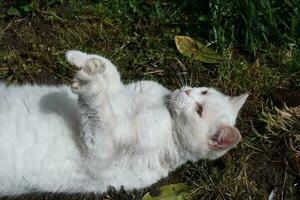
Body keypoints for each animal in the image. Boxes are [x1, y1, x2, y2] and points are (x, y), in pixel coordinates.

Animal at [0, 50, 248, 197]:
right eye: (203, 91)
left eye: (199, 111)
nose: (187, 91)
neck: (166, 113)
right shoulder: (122, 91)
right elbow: (111, 70)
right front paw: (82, 59)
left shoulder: (101, 148)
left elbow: (100, 109)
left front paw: (89, 81)